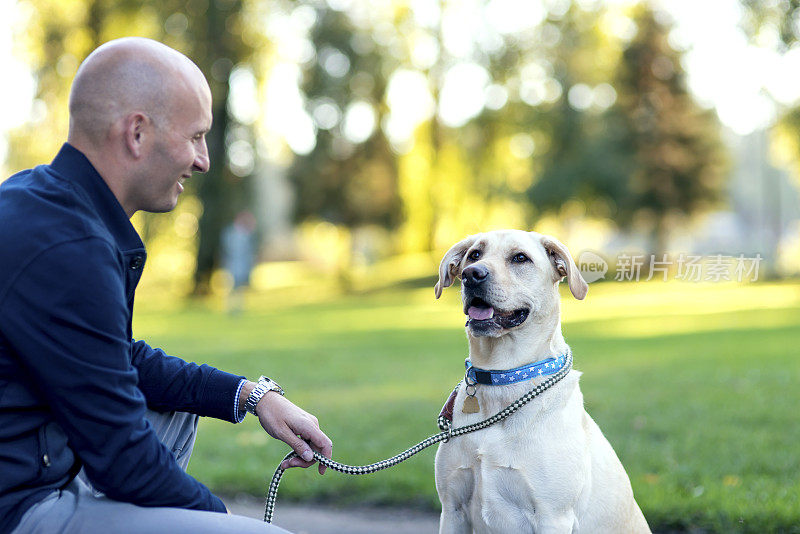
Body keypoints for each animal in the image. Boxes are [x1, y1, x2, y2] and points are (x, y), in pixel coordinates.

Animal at [432, 231, 648, 534]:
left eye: (520, 258)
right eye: (474, 254)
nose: (471, 274)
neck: (502, 379)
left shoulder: (552, 515)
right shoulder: (452, 508)